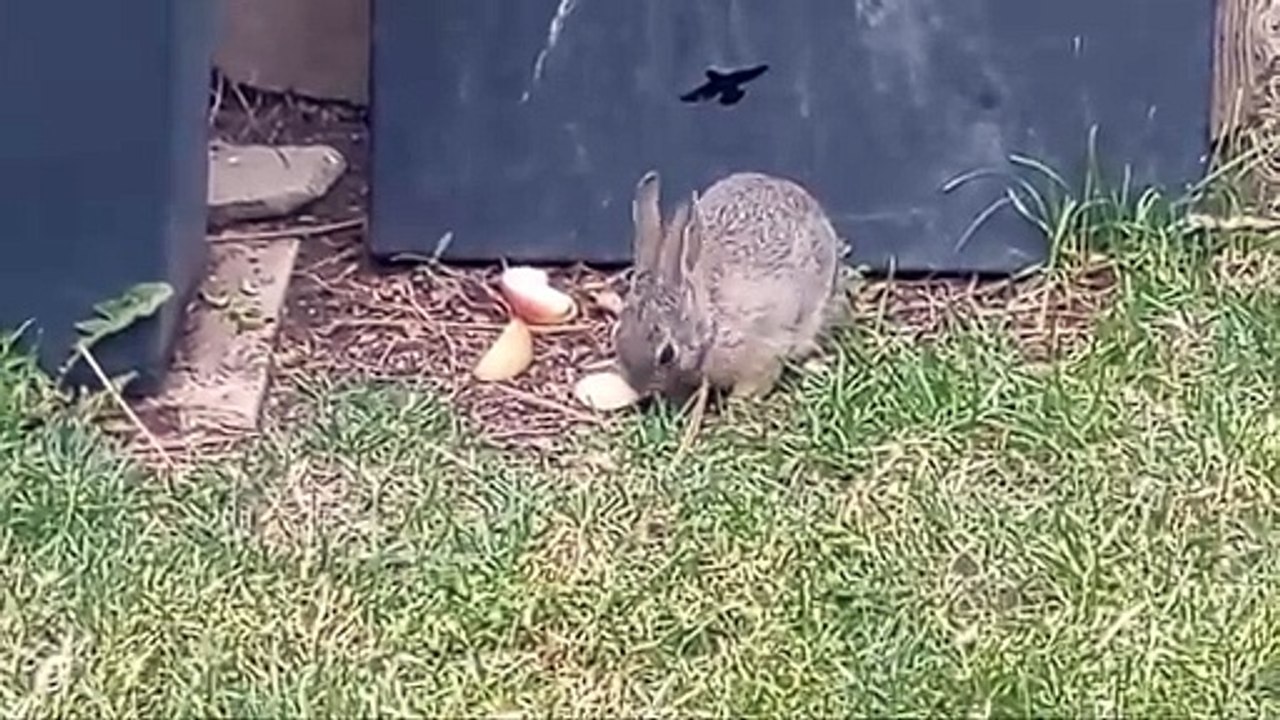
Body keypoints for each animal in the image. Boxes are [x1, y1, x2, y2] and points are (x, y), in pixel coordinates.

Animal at [613, 169, 848, 404]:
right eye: (618, 334)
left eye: (667, 354)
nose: (637, 388)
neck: (709, 323)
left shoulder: (764, 347)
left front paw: (738, 400)